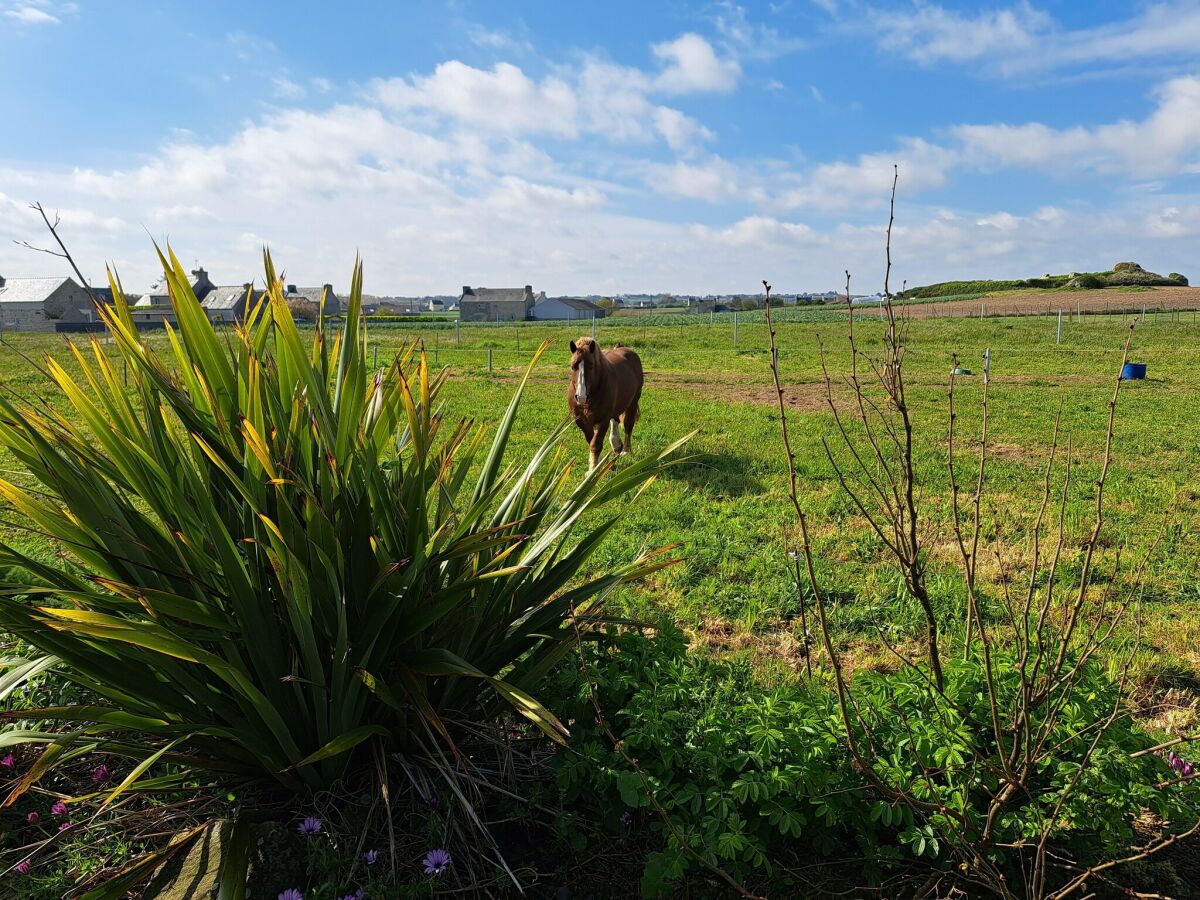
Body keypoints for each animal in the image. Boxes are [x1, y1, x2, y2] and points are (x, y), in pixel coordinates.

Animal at [566, 338, 643, 472]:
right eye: (572, 366)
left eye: (591, 366)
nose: (581, 397)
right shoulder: (581, 420)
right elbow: (591, 440)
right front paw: (600, 463)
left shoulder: (602, 420)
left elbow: (595, 444)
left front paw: (593, 469)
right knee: (615, 420)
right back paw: (616, 444)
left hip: (633, 402)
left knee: (628, 425)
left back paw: (625, 450)